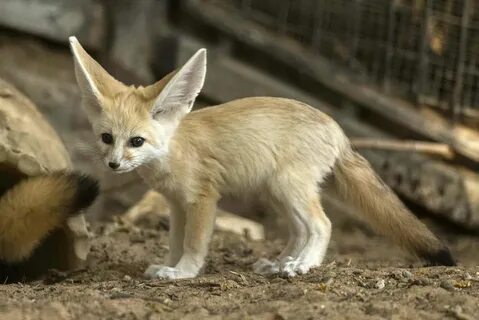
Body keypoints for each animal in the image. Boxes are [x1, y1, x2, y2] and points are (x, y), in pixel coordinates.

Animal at [69, 36, 456, 278]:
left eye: (137, 141)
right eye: (107, 139)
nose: (113, 164)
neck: (174, 150)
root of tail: (336, 127)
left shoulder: (202, 200)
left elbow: (193, 244)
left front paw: (183, 273)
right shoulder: (177, 205)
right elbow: (175, 242)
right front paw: (169, 266)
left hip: (288, 189)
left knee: (322, 225)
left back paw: (302, 266)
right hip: (276, 193)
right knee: (300, 231)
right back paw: (281, 263)